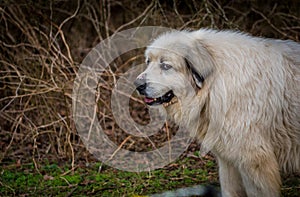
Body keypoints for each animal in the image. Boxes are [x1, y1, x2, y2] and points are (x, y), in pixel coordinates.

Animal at [134, 29, 300, 197]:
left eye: (166, 66)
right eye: (148, 62)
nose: (137, 85)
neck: (214, 83)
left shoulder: (254, 161)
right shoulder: (228, 161)